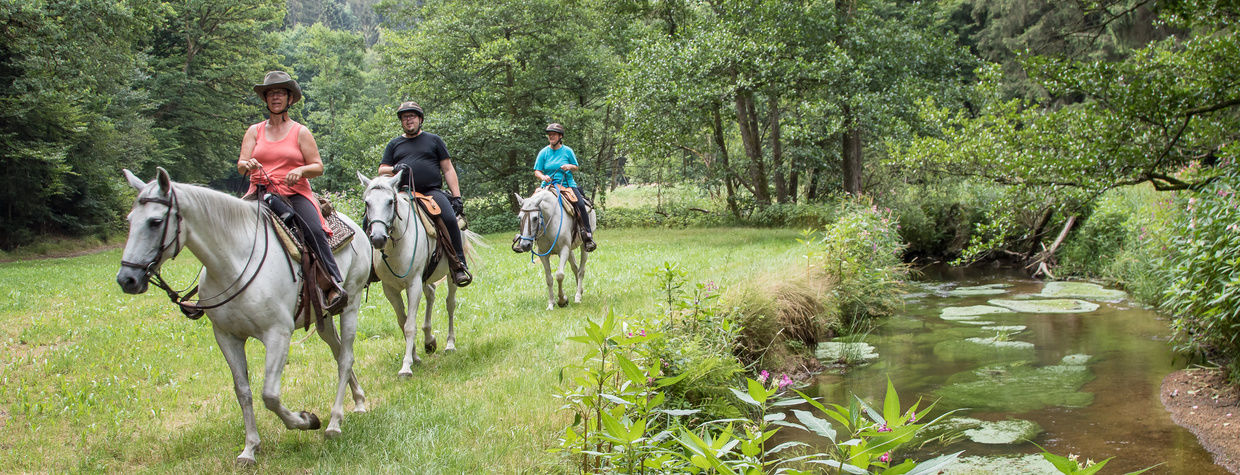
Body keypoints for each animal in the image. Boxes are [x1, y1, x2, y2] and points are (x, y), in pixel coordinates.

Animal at [114, 168, 369, 466]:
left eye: (155, 222)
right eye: (130, 220)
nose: (127, 279)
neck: (233, 262)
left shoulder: (277, 334)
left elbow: (269, 395)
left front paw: (306, 420)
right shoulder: (227, 336)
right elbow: (243, 391)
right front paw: (250, 448)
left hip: (350, 305)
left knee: (345, 357)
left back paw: (334, 423)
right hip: (323, 318)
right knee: (339, 352)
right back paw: (358, 400)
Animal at [362, 173, 476, 377]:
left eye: (390, 202)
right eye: (367, 203)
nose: (378, 238)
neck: (396, 246)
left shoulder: (413, 284)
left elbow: (409, 326)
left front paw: (406, 366)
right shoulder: (390, 289)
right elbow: (403, 322)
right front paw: (415, 357)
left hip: (450, 274)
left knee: (450, 304)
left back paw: (449, 344)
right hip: (426, 276)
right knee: (430, 294)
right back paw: (429, 340)